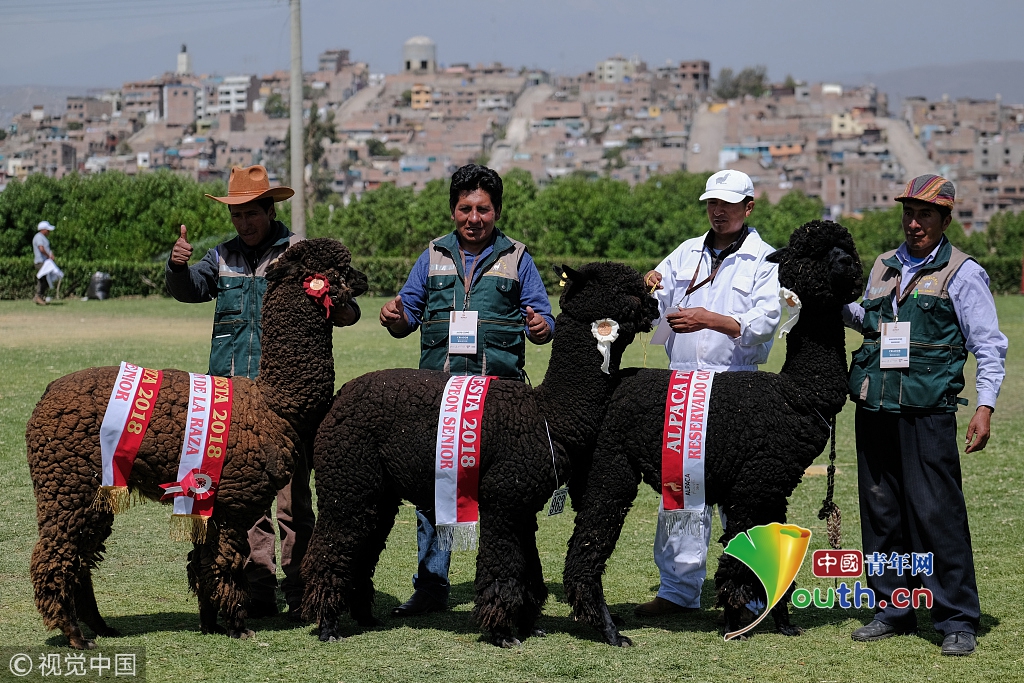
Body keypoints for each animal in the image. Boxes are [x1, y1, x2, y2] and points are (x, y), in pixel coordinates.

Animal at [25, 238, 367, 650]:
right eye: (338, 270)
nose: (365, 280)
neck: (274, 402)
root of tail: (45, 397)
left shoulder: (213, 501)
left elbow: (203, 561)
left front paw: (210, 623)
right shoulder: (236, 502)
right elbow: (226, 562)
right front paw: (237, 626)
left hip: (90, 492)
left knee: (80, 558)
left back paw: (100, 628)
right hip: (67, 484)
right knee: (55, 556)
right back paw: (76, 635)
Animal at [302, 261, 659, 647]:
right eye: (627, 291)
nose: (655, 307)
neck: (547, 415)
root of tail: (339, 398)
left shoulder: (522, 504)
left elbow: (529, 571)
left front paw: (529, 624)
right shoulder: (502, 499)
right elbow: (502, 565)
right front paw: (502, 632)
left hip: (377, 490)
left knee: (364, 545)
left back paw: (364, 617)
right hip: (347, 475)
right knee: (333, 543)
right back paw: (328, 626)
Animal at [562, 220, 864, 646]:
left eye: (846, 247)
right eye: (811, 254)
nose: (848, 264)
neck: (798, 393)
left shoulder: (775, 486)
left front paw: (783, 622)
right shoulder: (755, 484)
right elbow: (741, 557)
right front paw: (735, 620)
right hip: (612, 465)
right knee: (589, 545)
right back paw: (608, 629)